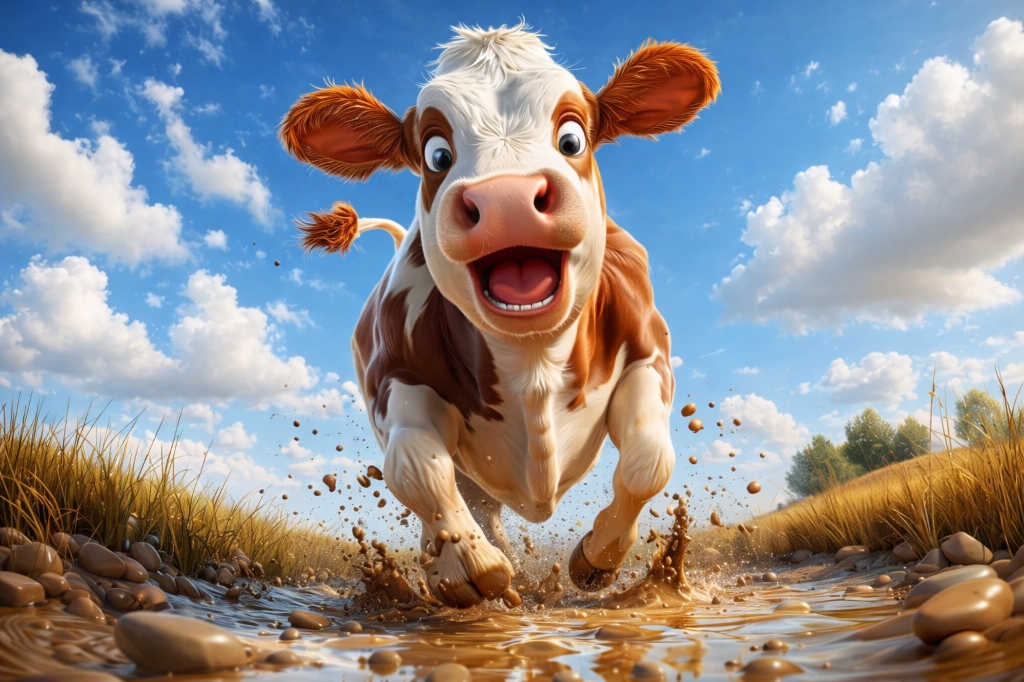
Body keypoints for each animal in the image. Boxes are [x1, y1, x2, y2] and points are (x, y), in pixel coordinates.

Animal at [281, 23, 719, 608]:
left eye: (572, 138)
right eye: (436, 154)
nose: (507, 198)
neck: (531, 360)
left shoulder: (649, 357)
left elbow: (649, 460)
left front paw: (597, 559)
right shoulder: (394, 382)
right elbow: (417, 468)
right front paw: (469, 567)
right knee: (468, 498)